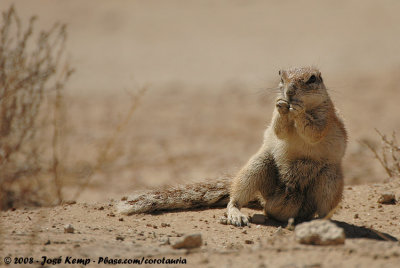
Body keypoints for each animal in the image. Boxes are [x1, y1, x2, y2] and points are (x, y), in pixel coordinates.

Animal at [116, 67, 346, 226]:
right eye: (281, 76)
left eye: (312, 78)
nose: (289, 92)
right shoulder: (276, 119)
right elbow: (279, 130)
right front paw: (282, 105)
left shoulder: (326, 117)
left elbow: (314, 131)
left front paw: (298, 110)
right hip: (257, 166)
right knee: (237, 199)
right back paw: (235, 215)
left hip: (331, 179)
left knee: (323, 208)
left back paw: (320, 221)